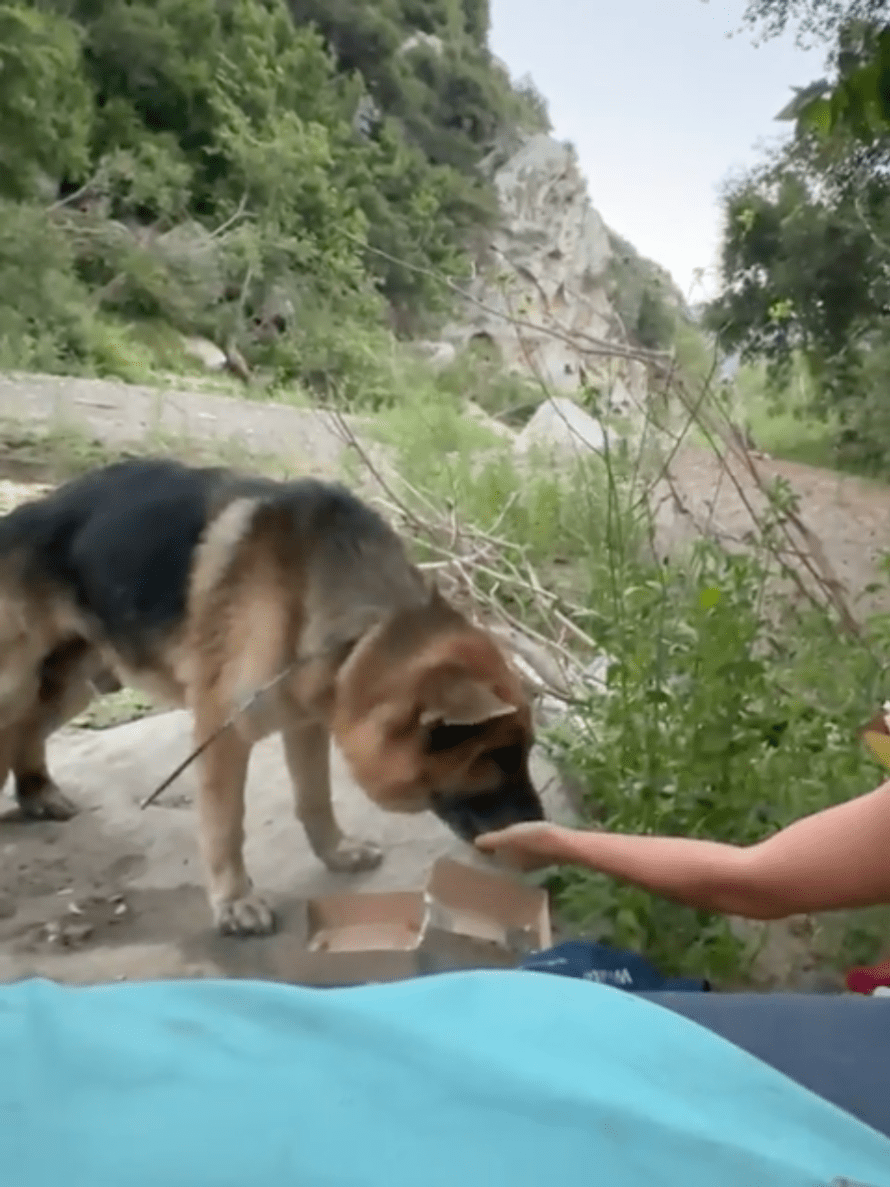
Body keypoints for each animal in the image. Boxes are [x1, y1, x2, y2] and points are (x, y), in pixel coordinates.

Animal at [0, 462, 548, 935]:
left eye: (524, 752)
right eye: (496, 756)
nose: (544, 839)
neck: (358, 632)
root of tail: (25, 513)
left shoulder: (308, 722)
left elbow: (315, 798)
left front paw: (336, 852)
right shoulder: (221, 734)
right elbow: (226, 825)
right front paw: (235, 901)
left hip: (70, 688)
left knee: (27, 731)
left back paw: (37, 793)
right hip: (19, 685)